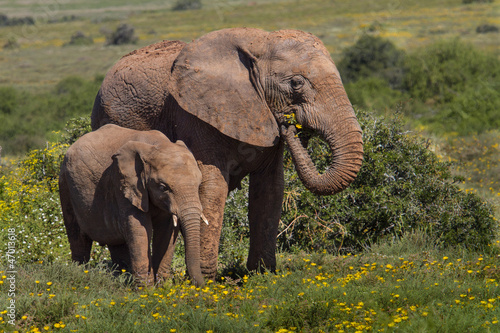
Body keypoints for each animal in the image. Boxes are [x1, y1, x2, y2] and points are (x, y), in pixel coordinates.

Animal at [59, 123, 207, 284]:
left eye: (199, 184)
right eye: (163, 187)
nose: (201, 285)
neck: (156, 145)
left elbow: (166, 229)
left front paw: (162, 286)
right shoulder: (124, 184)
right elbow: (140, 229)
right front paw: (146, 288)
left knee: (115, 242)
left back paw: (120, 278)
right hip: (65, 184)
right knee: (77, 236)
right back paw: (80, 273)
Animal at [91, 27, 364, 278]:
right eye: (296, 83)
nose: (288, 124)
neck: (260, 43)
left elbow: (270, 189)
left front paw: (262, 274)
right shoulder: (194, 116)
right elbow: (212, 188)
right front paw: (205, 279)